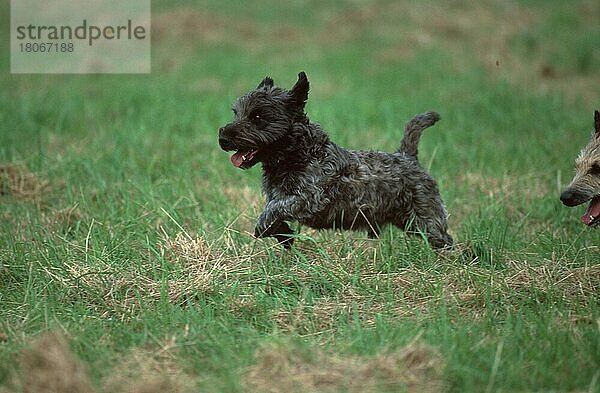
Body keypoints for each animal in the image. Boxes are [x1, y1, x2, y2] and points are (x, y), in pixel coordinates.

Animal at [219, 71, 450, 248]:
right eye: (236, 112)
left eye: (258, 116)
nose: (223, 138)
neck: (297, 154)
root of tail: (407, 156)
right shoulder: (280, 197)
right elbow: (274, 214)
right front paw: (285, 236)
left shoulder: (308, 198)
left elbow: (275, 209)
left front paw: (266, 228)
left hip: (426, 220)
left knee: (445, 239)